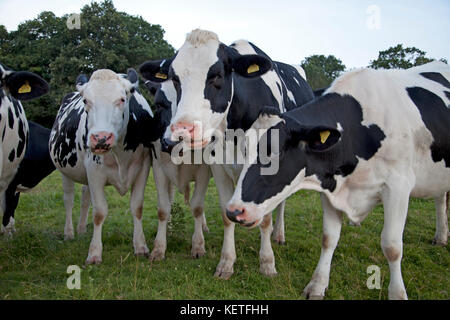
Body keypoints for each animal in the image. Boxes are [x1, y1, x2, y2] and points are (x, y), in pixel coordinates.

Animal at [48, 68, 158, 264]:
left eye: (122, 99)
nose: (100, 138)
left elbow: (137, 207)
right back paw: (69, 232)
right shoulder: (94, 171)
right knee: (68, 199)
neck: (120, 152)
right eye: (86, 101)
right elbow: (99, 212)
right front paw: (94, 253)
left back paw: (82, 229)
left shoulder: (143, 168)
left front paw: (140, 246)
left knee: (85, 197)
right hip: (64, 171)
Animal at [139, 30, 314, 280]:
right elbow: (225, 214)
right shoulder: (218, 166)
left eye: (217, 76)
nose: (182, 131)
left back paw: (279, 235)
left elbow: (266, 218)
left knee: (280, 204)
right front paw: (226, 262)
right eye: (175, 78)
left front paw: (267, 262)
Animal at [229, 61, 450, 298]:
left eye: (275, 151)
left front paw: (397, 293)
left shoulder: (398, 186)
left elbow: (392, 246)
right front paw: (317, 285)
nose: (234, 211)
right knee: (440, 198)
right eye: (244, 149)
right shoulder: (330, 186)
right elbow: (329, 238)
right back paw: (440, 236)